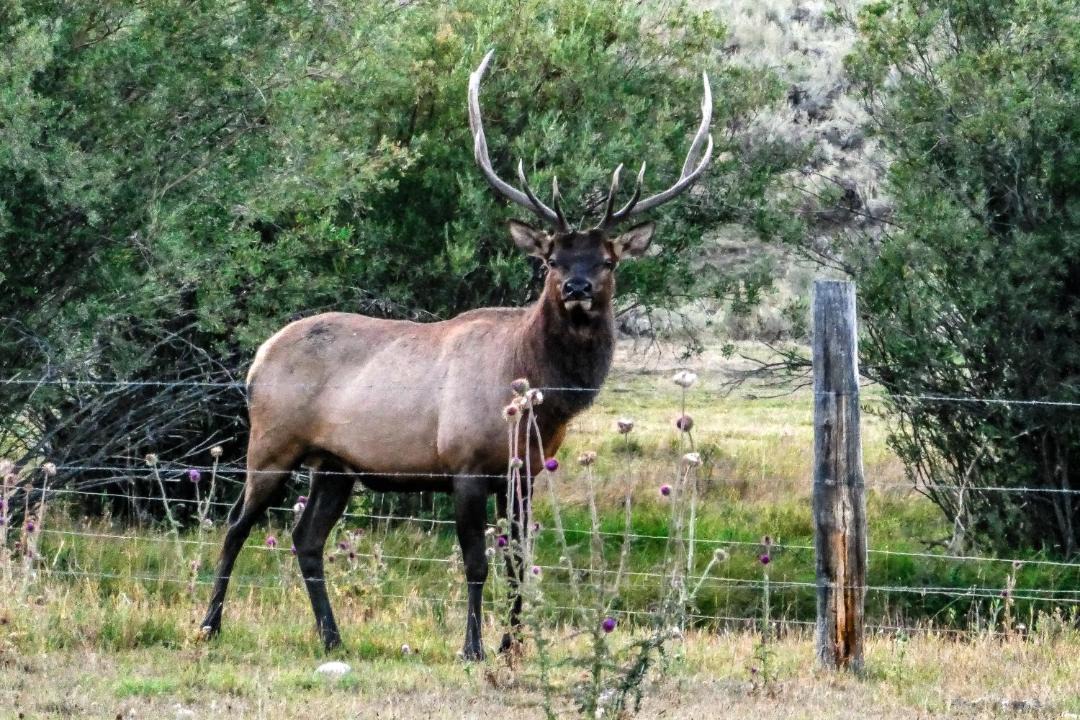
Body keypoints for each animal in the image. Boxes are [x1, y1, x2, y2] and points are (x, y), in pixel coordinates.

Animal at [199, 50, 713, 660]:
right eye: (552, 259)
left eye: (607, 260)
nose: (577, 288)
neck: (533, 392)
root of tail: (257, 359)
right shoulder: (464, 465)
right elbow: (477, 563)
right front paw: (473, 647)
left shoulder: (525, 474)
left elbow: (518, 563)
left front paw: (513, 646)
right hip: (273, 440)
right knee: (236, 524)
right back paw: (210, 625)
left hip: (336, 463)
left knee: (306, 538)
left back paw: (332, 636)